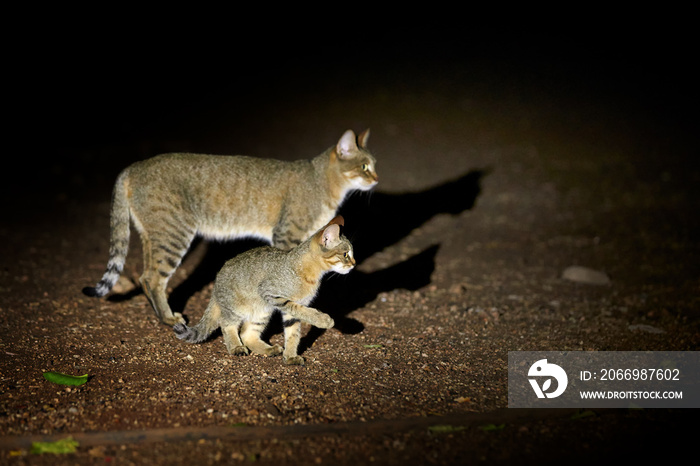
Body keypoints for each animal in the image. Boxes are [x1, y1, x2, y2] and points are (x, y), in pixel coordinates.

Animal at [82, 127, 378, 324]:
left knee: (145, 276)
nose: (376, 179)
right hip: (173, 235)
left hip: (153, 236)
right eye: (365, 166)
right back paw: (168, 318)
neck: (322, 181)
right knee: (152, 278)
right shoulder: (287, 234)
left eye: (373, 165)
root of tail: (132, 167)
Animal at [173, 217, 352, 366]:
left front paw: (290, 356)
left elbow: (293, 333)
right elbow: (302, 311)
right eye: (345, 254)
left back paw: (268, 349)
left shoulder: (290, 311)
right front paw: (323, 320)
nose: (353, 264)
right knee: (226, 324)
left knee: (247, 334)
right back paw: (236, 347)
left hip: (262, 312)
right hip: (237, 308)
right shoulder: (272, 293)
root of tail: (216, 283)